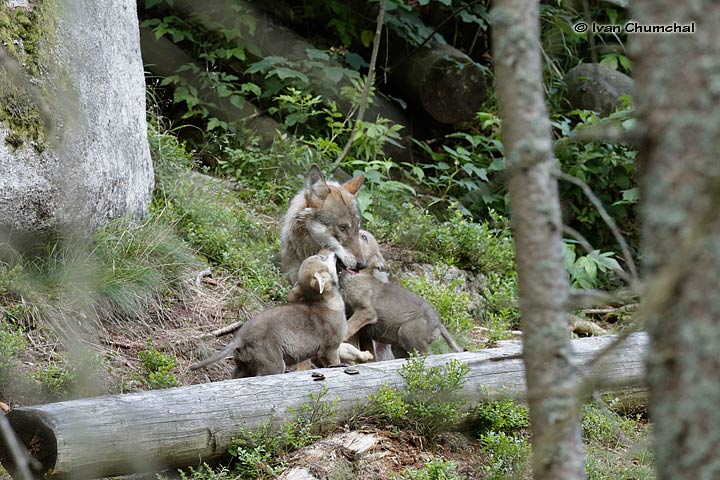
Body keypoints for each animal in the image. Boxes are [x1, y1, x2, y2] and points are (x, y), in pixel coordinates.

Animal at [190, 251, 348, 378]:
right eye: (322, 257)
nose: (335, 253)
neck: (325, 302)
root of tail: (240, 338)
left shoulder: (316, 353)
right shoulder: (331, 348)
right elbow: (334, 363)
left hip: (243, 367)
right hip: (273, 365)